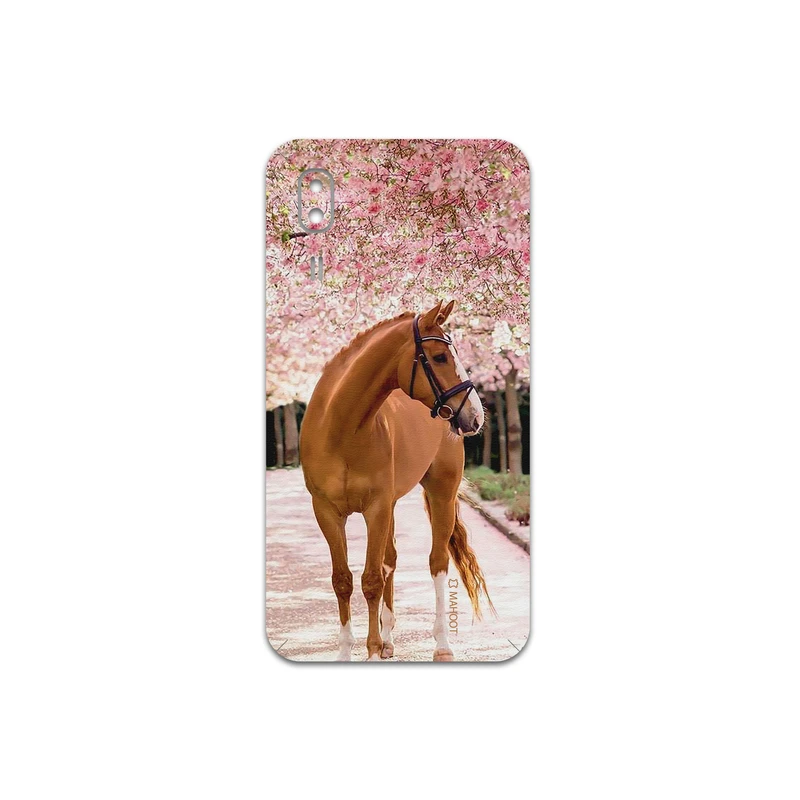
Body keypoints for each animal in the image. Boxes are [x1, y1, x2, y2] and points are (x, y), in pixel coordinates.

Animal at [299, 300, 493, 661]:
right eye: (440, 357)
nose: (475, 416)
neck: (341, 429)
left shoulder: (375, 508)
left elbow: (371, 579)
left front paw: (372, 651)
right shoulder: (327, 512)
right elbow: (343, 580)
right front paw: (351, 651)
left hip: (441, 494)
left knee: (437, 562)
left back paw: (441, 645)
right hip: (390, 505)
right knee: (390, 560)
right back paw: (389, 639)